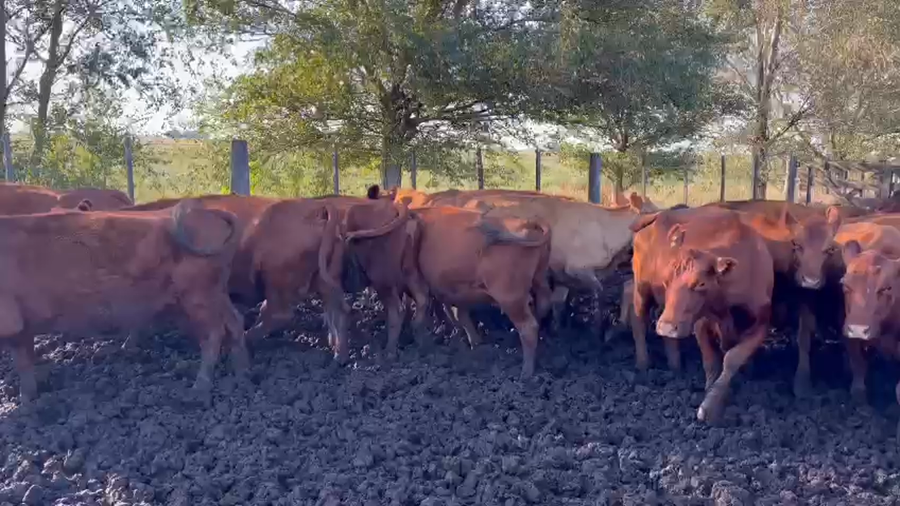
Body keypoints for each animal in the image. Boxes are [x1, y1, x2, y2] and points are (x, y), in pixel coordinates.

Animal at [0, 200, 242, 402]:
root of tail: (214, 213)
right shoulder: (23, 324)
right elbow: (26, 359)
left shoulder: (11, 320)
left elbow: (21, 361)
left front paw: (25, 402)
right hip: (214, 292)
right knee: (235, 321)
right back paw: (242, 372)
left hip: (198, 295)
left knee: (213, 334)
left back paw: (199, 389)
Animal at [408, 206, 552, 377]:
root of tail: (529, 222)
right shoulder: (455, 291)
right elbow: (458, 315)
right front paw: (472, 343)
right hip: (539, 280)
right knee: (542, 309)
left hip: (511, 298)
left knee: (528, 327)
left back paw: (526, 372)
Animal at [635, 207, 774, 423]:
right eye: (666, 280)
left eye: (701, 283)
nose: (666, 327)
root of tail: (657, 214)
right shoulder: (700, 323)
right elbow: (711, 361)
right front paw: (709, 401)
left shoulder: (761, 324)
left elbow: (732, 359)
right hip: (642, 289)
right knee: (639, 319)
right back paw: (643, 363)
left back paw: (674, 363)